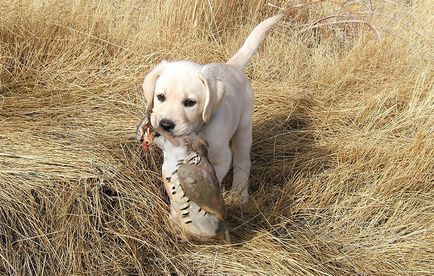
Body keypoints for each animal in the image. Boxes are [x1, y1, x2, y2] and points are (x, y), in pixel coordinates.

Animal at [139, 15, 282, 203]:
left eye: (190, 102)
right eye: (160, 97)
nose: (165, 125)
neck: (196, 132)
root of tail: (232, 66)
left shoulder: (221, 159)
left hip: (243, 129)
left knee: (242, 161)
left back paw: (239, 193)